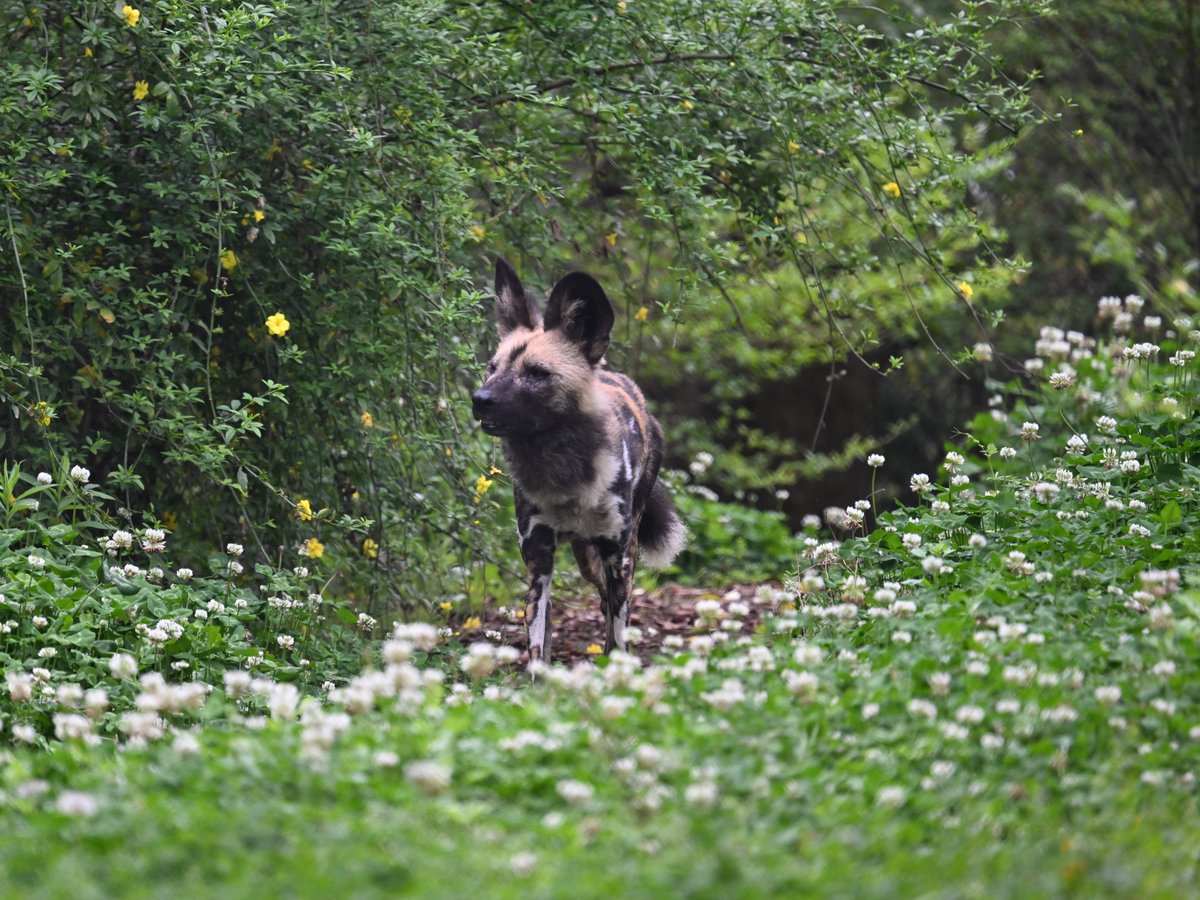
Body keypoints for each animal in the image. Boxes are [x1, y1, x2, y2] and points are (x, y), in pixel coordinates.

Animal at [470, 259, 686, 662]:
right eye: (492, 367)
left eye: (537, 373)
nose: (480, 399)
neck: (563, 474)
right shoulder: (539, 565)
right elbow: (538, 647)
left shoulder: (618, 557)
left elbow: (618, 629)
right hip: (585, 557)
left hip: (619, 552)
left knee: (613, 609)